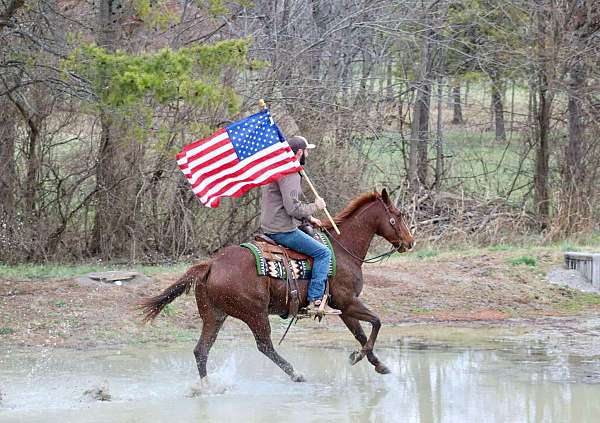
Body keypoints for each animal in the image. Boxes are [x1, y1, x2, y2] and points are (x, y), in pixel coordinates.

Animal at [138, 187, 414, 382]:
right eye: (398, 215)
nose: (410, 242)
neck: (343, 248)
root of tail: (212, 264)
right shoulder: (348, 302)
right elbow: (376, 322)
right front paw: (357, 357)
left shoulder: (343, 308)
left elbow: (361, 333)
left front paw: (377, 364)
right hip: (255, 313)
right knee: (264, 346)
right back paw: (295, 374)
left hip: (214, 315)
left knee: (201, 351)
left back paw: (206, 388)